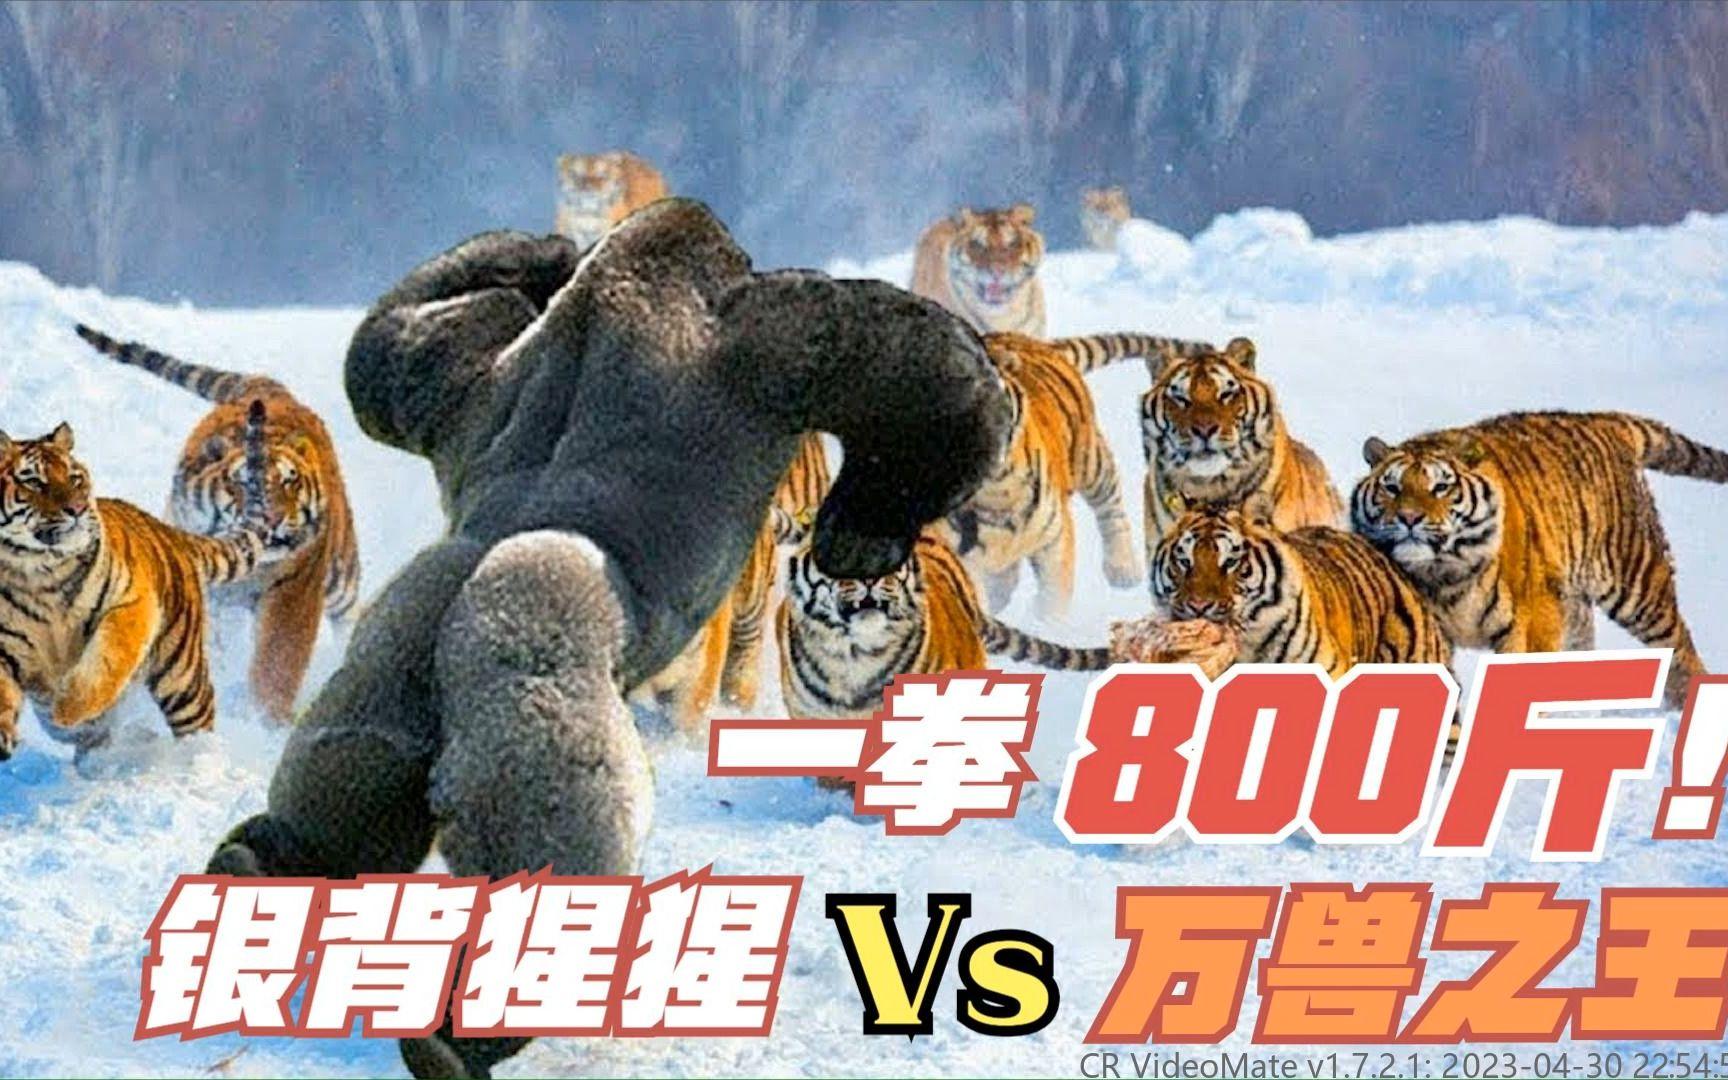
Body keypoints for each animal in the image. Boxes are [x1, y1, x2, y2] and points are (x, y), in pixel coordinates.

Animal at [0, 405, 279, 758]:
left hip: (182, 674)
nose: (77, 508)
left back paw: (195, 757)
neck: (37, 568)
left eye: (75, 478)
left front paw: (68, 706)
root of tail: (167, 529)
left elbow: (107, 660)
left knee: (198, 715)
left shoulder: (133, 601)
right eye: (35, 482)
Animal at [74, 323, 360, 722]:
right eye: (242, 482)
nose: (271, 518)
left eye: (290, 481)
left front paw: (266, 718)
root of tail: (271, 390)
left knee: (349, 612)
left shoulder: (294, 590)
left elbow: (278, 659)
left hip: (341, 575)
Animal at [938, 331, 1212, 618]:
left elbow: (1053, 596)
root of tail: (1031, 341)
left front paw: (1048, 623)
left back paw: (1123, 568)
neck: (993, 493)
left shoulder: (1056, 538)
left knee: (1110, 505)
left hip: (1091, 460)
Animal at [1351, 411, 1728, 706]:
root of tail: (1601, 420)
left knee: (1680, 645)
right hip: (1572, 599)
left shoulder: (1529, 622)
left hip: (1637, 582)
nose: (1409, 518)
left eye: (1440, 488)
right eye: (1392, 488)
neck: (1443, 574)